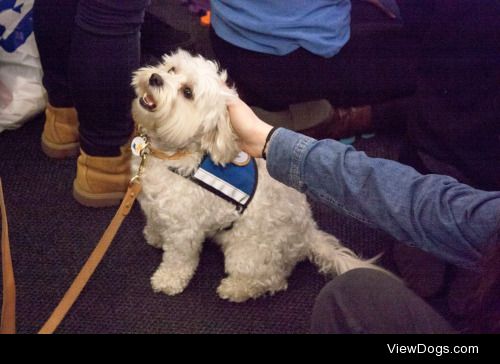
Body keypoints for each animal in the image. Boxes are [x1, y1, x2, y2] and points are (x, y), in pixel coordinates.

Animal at [131, 49, 380, 302]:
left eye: (188, 93)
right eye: (172, 69)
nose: (155, 78)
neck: (169, 154)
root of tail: (308, 233)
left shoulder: (184, 230)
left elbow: (178, 259)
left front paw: (167, 280)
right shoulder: (154, 206)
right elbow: (155, 221)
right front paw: (155, 236)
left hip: (248, 254)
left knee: (273, 280)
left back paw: (235, 288)